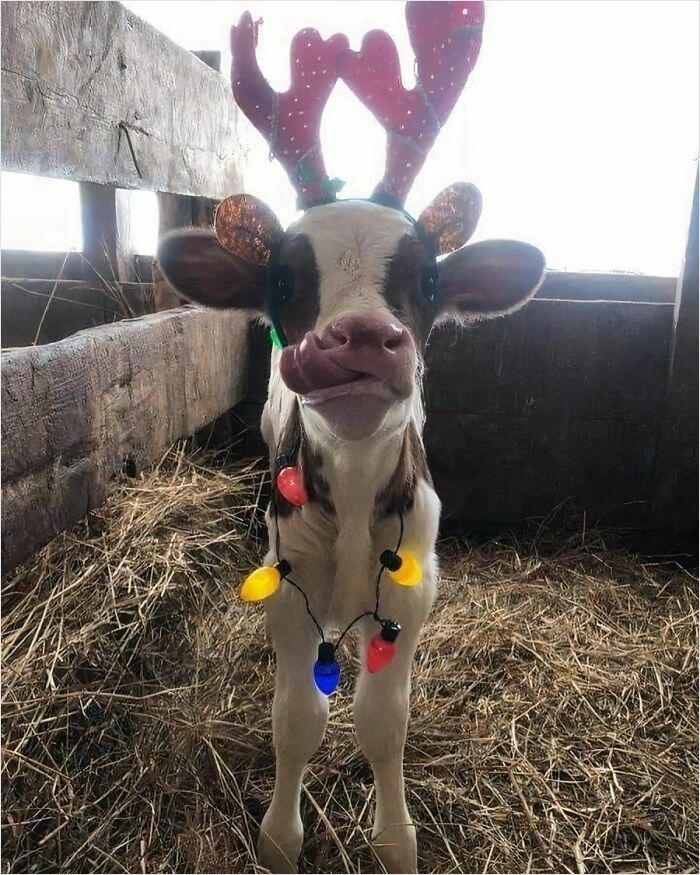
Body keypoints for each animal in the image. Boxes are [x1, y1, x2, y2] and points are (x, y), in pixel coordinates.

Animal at [157, 3, 545, 872]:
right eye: (282, 279)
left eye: (428, 278)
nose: (361, 337)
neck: (361, 505)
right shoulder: (287, 580)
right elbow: (298, 716)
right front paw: (279, 837)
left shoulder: (413, 588)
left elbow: (382, 720)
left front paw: (396, 841)